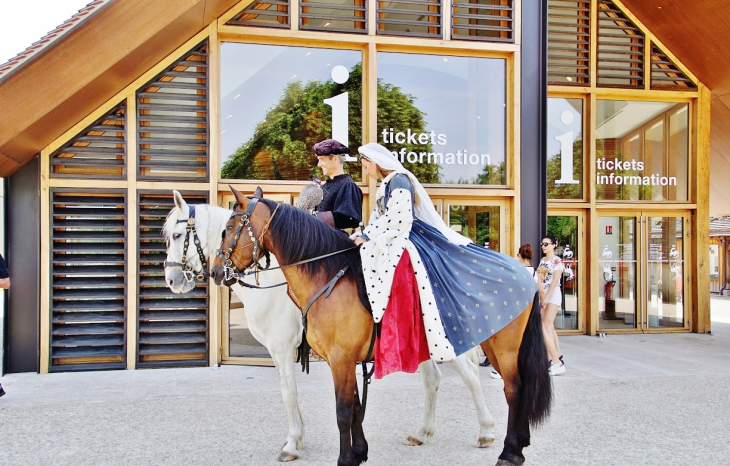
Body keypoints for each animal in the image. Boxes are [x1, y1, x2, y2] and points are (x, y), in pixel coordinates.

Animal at [208, 187, 548, 466]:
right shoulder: (344, 360)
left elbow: (342, 410)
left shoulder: (337, 358)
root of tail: (524, 272)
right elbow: (356, 407)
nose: (215, 271)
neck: (327, 275)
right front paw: (359, 453)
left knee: (511, 388)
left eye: (229, 229)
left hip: (501, 346)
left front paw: (341, 458)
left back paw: (508, 450)